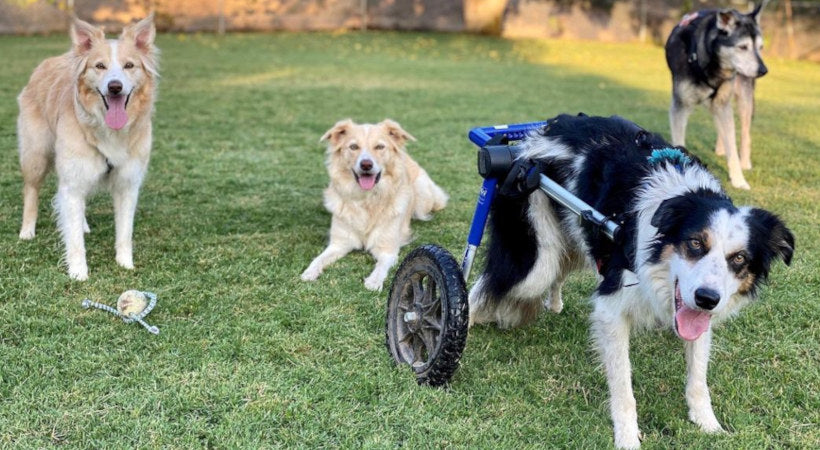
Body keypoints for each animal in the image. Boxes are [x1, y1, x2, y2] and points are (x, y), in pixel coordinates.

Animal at [302, 118, 448, 290]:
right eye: (353, 147)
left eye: (379, 147)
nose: (366, 164)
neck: (367, 200)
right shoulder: (338, 244)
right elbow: (319, 258)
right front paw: (310, 271)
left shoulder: (387, 249)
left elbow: (381, 266)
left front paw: (373, 281)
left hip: (423, 198)